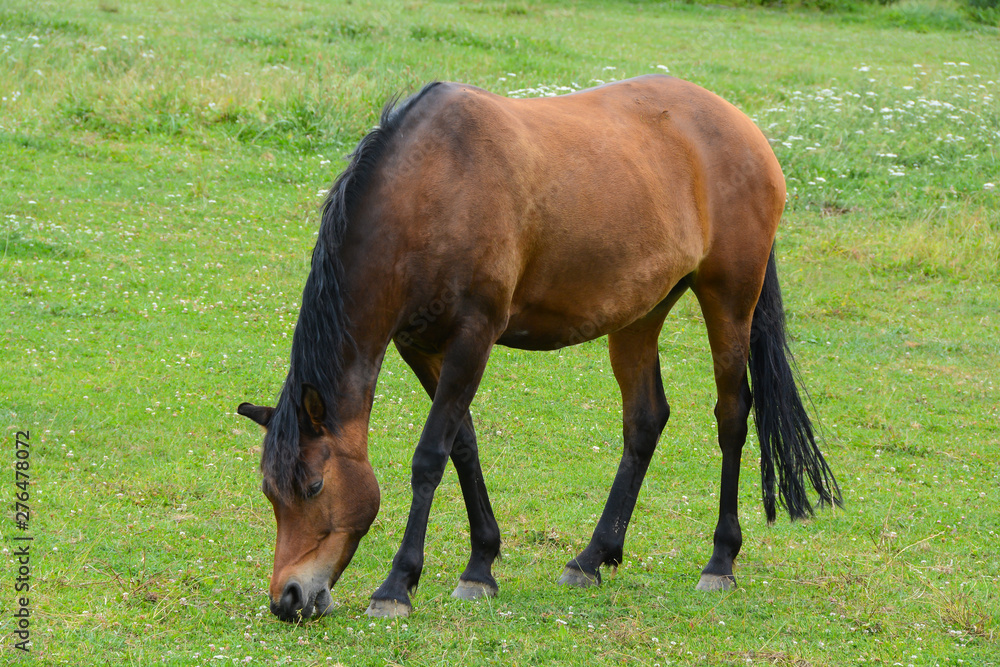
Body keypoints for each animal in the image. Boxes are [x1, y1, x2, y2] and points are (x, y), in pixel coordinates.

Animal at [237, 74, 841, 622]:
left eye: (314, 486)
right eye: (270, 493)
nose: (288, 598)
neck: (433, 187)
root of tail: (745, 129)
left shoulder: (473, 337)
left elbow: (430, 455)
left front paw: (397, 584)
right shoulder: (422, 347)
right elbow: (463, 446)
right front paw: (480, 566)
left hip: (730, 302)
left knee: (732, 417)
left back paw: (720, 560)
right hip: (639, 315)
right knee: (645, 421)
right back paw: (592, 557)